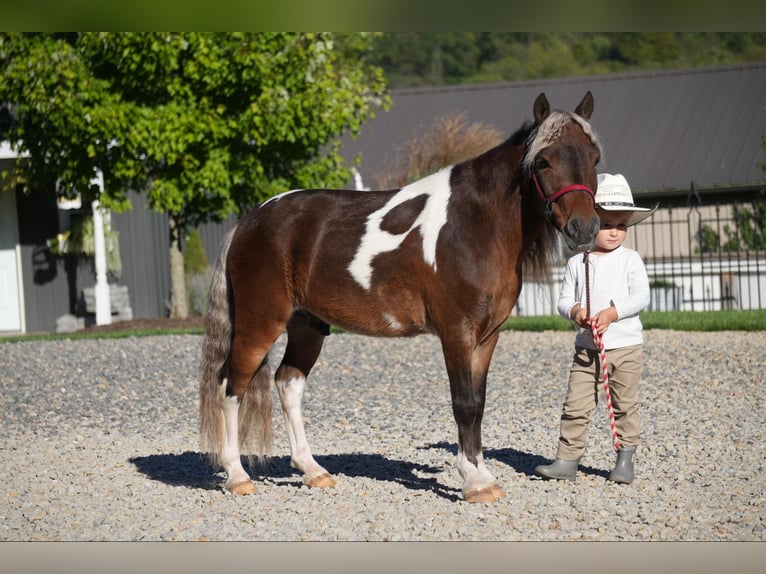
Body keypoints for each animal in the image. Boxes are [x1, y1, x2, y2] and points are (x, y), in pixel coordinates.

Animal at [201, 91, 604, 504]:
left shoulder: (487, 337)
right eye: (543, 160)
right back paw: (237, 476)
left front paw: (482, 475)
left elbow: (478, 404)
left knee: (288, 383)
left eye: (594, 158)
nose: (584, 229)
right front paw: (474, 482)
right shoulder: (456, 332)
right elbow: (464, 403)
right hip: (260, 322)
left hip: (307, 326)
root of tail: (249, 222)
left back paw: (313, 471)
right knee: (231, 385)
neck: (474, 224)